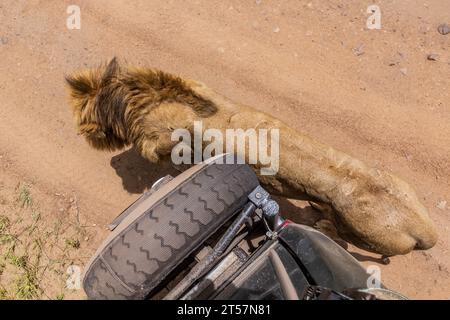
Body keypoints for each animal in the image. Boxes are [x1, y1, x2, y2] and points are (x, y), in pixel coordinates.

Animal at [65, 58, 438, 258]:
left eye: (86, 121)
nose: (83, 135)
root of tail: (423, 229)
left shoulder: (173, 142)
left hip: (367, 235)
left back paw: (323, 224)